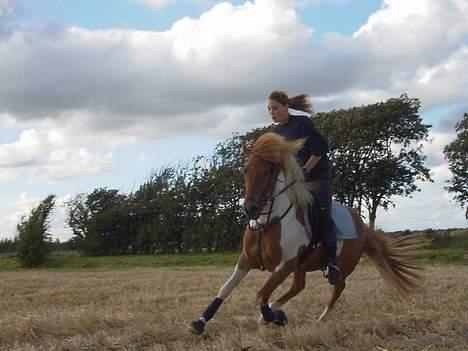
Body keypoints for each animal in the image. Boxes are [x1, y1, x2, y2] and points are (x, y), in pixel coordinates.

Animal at [188, 133, 422, 336]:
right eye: (246, 170)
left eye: (267, 172)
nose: (250, 209)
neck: (269, 222)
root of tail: (363, 226)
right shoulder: (247, 260)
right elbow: (225, 289)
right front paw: (199, 322)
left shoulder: (286, 264)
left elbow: (261, 294)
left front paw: (273, 317)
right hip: (302, 265)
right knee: (298, 286)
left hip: (340, 266)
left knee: (337, 287)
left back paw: (318, 318)